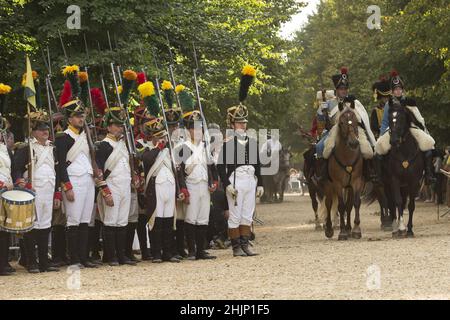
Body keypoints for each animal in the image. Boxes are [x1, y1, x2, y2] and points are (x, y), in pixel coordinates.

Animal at [326, 102, 364, 240]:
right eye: (341, 122)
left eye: (356, 121)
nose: (353, 143)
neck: (347, 157)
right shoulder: (337, 184)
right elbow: (340, 206)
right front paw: (342, 232)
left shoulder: (357, 182)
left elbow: (355, 203)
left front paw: (356, 230)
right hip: (328, 185)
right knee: (328, 203)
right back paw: (329, 229)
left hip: (348, 187)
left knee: (349, 205)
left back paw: (349, 229)